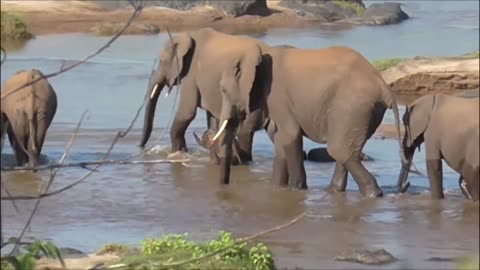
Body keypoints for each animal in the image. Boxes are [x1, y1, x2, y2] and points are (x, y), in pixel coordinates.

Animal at [212, 43, 404, 196]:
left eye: (224, 90)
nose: (226, 186)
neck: (258, 53)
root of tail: (384, 87)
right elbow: (281, 141)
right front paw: (277, 188)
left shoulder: (277, 96)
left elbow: (290, 136)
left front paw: (296, 189)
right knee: (346, 153)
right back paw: (334, 191)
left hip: (351, 107)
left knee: (339, 150)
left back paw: (373, 194)